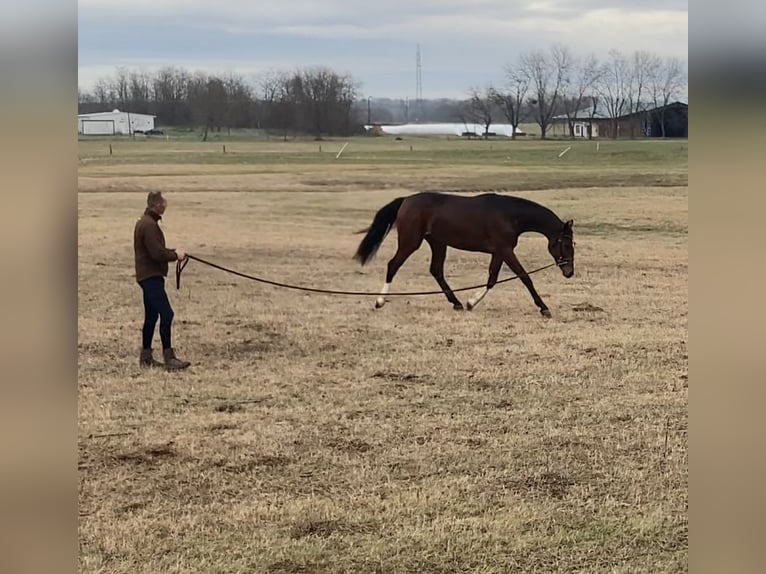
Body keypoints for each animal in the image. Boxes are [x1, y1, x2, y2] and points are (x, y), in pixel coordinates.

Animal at [354, 194, 576, 320]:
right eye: (565, 244)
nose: (569, 272)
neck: (510, 215)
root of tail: (406, 201)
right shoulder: (505, 250)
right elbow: (525, 277)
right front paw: (544, 309)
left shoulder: (499, 252)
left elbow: (492, 279)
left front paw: (470, 303)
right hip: (411, 242)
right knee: (393, 265)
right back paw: (380, 301)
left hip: (438, 243)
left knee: (436, 270)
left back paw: (457, 303)